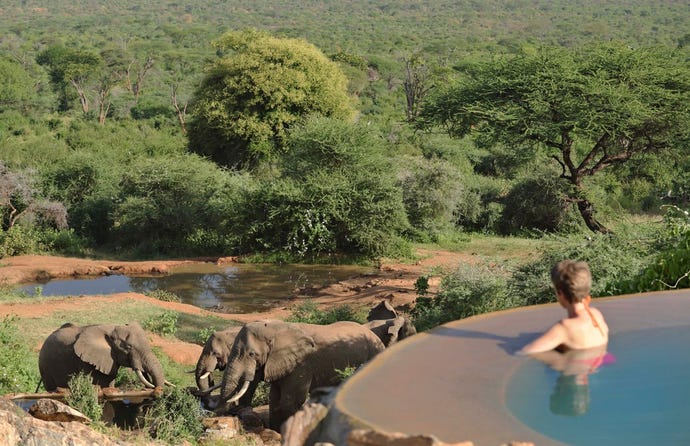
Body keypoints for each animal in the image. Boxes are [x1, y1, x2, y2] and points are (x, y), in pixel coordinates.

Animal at [218, 318, 384, 430]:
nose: (233, 413)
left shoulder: (302, 364)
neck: (275, 329)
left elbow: (291, 401)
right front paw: (276, 431)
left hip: (374, 354)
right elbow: (274, 399)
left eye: (252, 354)